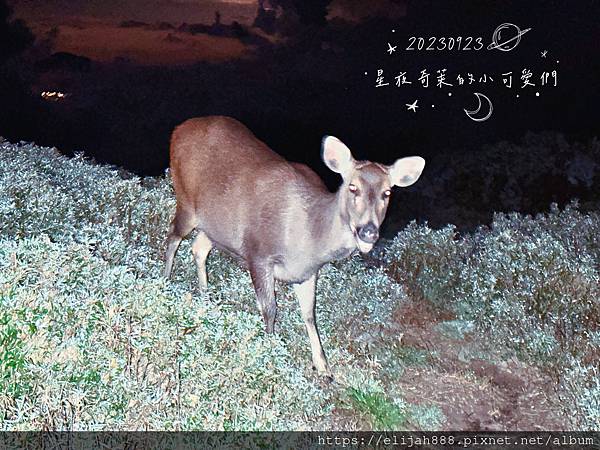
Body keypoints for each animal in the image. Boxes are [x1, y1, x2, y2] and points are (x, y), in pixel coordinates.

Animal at [164, 116, 426, 380]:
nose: (369, 231)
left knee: (198, 247)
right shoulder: (258, 252)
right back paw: (165, 282)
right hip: (186, 199)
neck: (309, 238)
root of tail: (178, 129)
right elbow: (270, 309)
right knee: (172, 237)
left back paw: (205, 295)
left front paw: (323, 366)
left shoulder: (307, 272)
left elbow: (310, 314)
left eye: (387, 192)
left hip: (215, 226)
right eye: (353, 187)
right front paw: (269, 351)